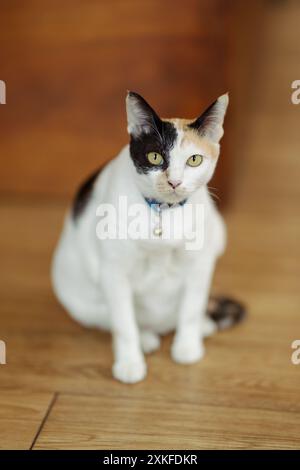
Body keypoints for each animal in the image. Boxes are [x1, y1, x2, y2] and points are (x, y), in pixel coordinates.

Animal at [51, 91, 244, 382]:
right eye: (155, 157)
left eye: (194, 160)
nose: (174, 181)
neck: (164, 212)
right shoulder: (114, 273)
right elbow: (123, 324)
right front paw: (130, 364)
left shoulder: (200, 264)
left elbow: (191, 308)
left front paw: (187, 348)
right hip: (77, 296)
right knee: (111, 318)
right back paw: (146, 338)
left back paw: (202, 325)